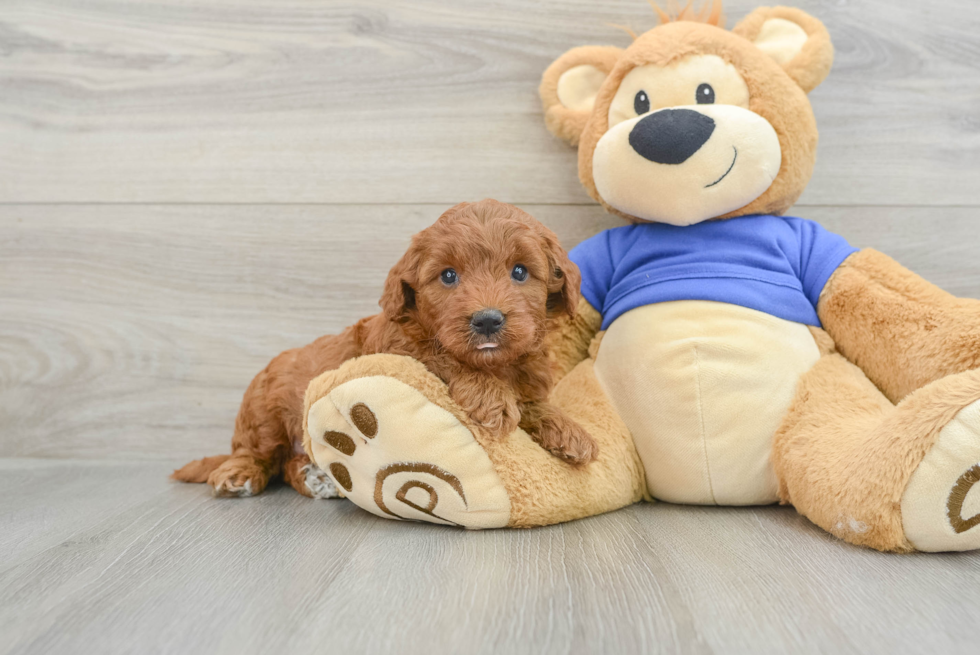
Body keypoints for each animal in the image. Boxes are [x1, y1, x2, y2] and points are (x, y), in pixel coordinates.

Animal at [172, 200, 596, 498]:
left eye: (520, 271)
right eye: (448, 276)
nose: (488, 320)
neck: (497, 365)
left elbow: (533, 403)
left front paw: (568, 430)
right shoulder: (401, 349)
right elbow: (441, 355)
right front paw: (491, 396)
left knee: (289, 465)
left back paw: (316, 478)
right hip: (263, 411)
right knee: (258, 453)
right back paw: (239, 474)